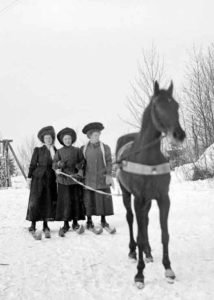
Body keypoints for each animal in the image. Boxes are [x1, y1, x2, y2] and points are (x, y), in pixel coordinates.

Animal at [115, 81, 186, 288]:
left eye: (176, 105)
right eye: (157, 106)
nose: (179, 135)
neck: (148, 158)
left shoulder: (163, 198)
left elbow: (164, 234)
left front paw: (168, 269)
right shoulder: (138, 198)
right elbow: (139, 235)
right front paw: (139, 275)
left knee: (144, 222)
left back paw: (147, 252)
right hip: (127, 195)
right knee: (131, 220)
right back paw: (133, 252)